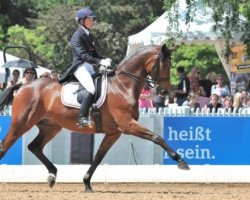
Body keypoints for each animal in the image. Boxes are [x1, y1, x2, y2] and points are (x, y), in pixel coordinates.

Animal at [0, 44, 188, 192]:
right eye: (163, 64)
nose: (164, 92)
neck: (123, 86)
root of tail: (23, 86)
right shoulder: (128, 125)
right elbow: (157, 137)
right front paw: (181, 161)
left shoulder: (114, 133)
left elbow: (98, 157)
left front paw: (87, 183)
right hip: (21, 123)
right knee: (5, 146)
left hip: (51, 127)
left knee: (34, 147)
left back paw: (52, 175)